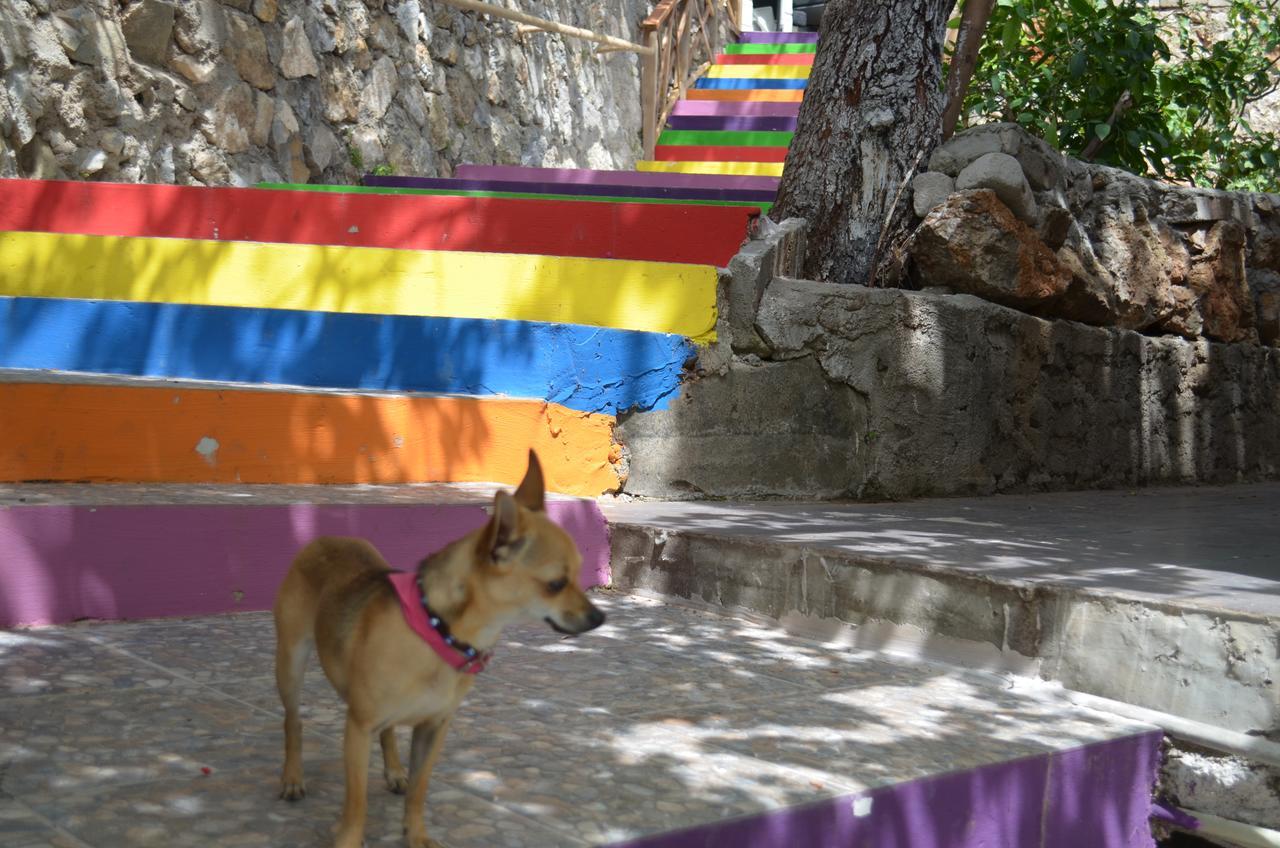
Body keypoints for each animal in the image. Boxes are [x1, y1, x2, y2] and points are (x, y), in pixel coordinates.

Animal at [268, 456, 604, 848]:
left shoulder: (432, 730)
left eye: (578, 576)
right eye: (556, 584)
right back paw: (292, 777)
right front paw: (350, 839)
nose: (600, 618)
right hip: (290, 663)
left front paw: (416, 834)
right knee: (293, 721)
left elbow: (419, 788)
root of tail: (327, 538)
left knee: (388, 733)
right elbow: (357, 801)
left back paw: (395, 770)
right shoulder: (358, 729)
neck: (438, 634)